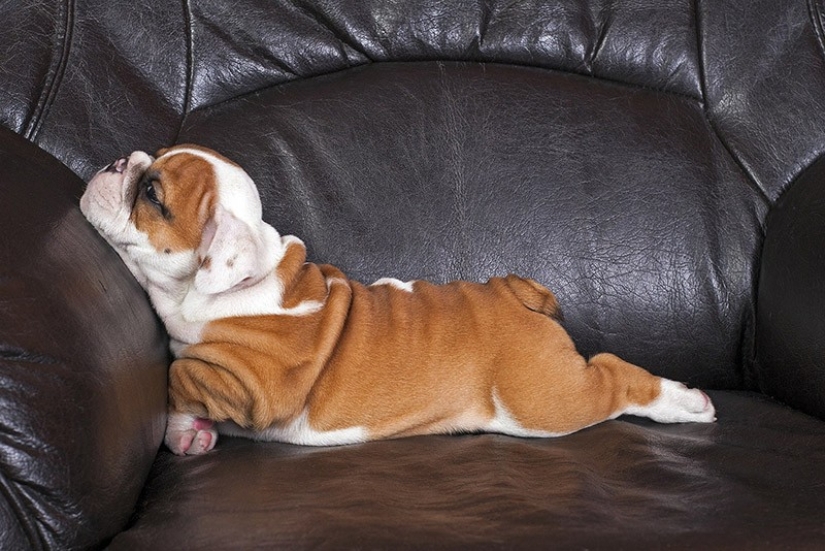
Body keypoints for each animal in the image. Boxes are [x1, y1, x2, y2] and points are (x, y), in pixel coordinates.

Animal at [79, 144, 716, 454]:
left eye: (152, 195)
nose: (117, 162)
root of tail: (516, 293)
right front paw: (196, 434)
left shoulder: (250, 385)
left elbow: (178, 375)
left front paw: (183, 428)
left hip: (540, 399)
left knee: (612, 377)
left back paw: (686, 402)